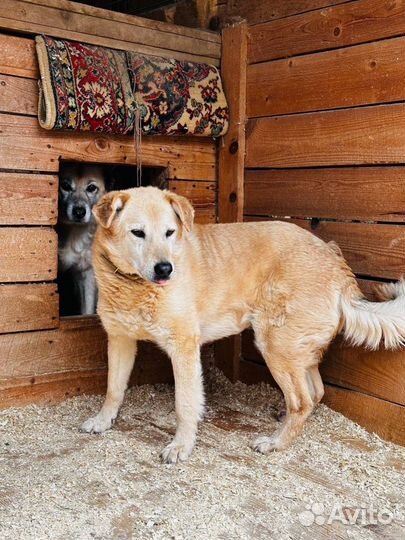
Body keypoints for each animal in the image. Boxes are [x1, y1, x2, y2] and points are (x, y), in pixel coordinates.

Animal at [80, 187, 404, 464]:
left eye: (169, 233)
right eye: (138, 233)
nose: (165, 269)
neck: (133, 285)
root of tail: (333, 258)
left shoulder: (184, 348)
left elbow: (185, 404)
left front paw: (181, 445)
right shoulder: (119, 340)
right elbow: (113, 388)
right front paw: (103, 420)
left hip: (275, 345)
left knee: (302, 400)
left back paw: (276, 442)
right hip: (296, 347)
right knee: (316, 392)